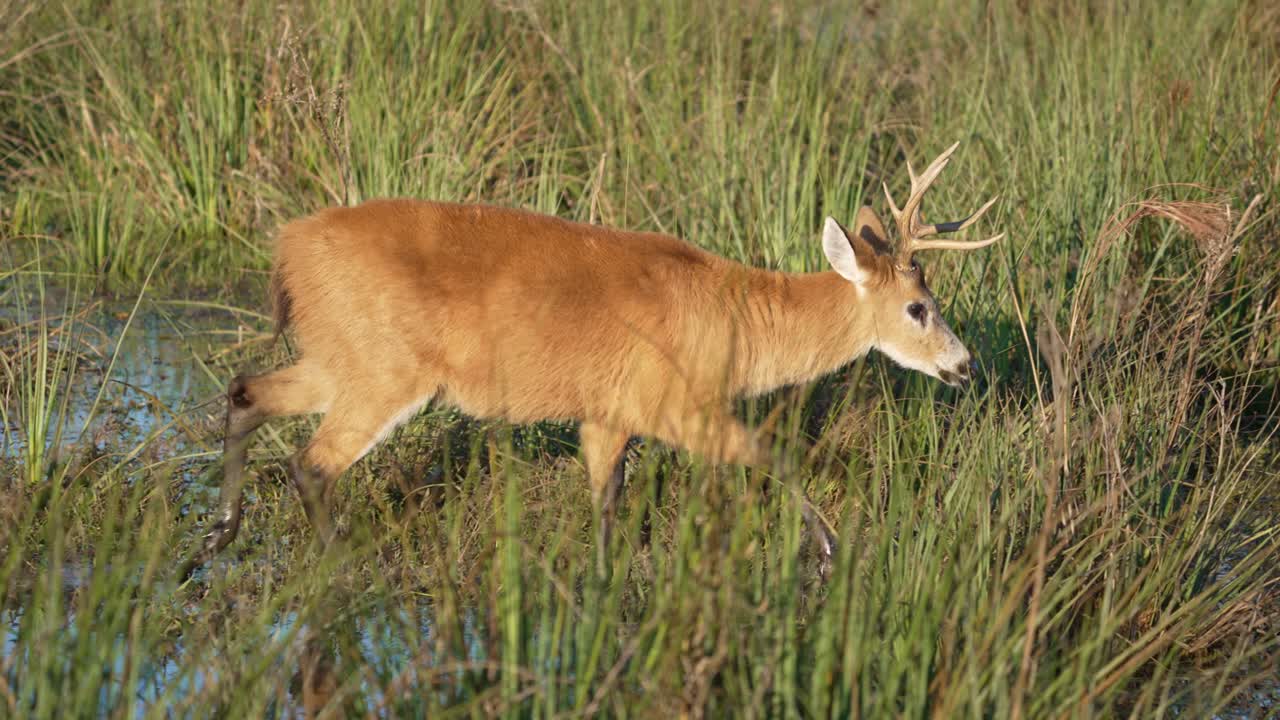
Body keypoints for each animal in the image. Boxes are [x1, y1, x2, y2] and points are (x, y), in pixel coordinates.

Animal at [178, 142, 1002, 581]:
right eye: (918, 307)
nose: (965, 367)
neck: (735, 315)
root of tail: (287, 250)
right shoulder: (675, 404)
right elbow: (772, 454)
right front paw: (830, 554)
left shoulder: (607, 417)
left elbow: (606, 510)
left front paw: (603, 590)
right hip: (385, 373)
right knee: (311, 465)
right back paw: (342, 564)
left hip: (339, 358)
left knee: (247, 391)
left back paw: (216, 536)